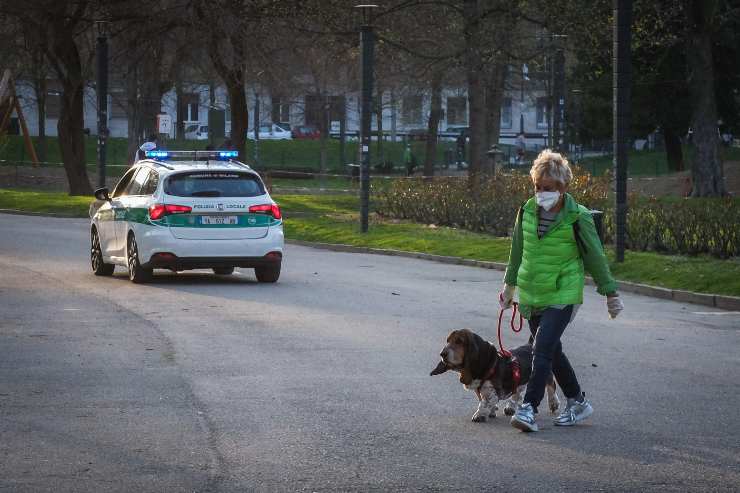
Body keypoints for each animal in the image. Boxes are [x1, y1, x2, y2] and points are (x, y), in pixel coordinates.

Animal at [428, 328, 560, 420]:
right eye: (447, 341)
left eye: (459, 341)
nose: (442, 354)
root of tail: (530, 344)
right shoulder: (480, 389)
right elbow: (483, 399)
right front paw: (491, 411)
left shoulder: (493, 391)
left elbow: (485, 402)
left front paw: (480, 415)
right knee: (518, 392)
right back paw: (510, 407)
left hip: (546, 372)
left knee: (551, 386)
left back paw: (553, 403)